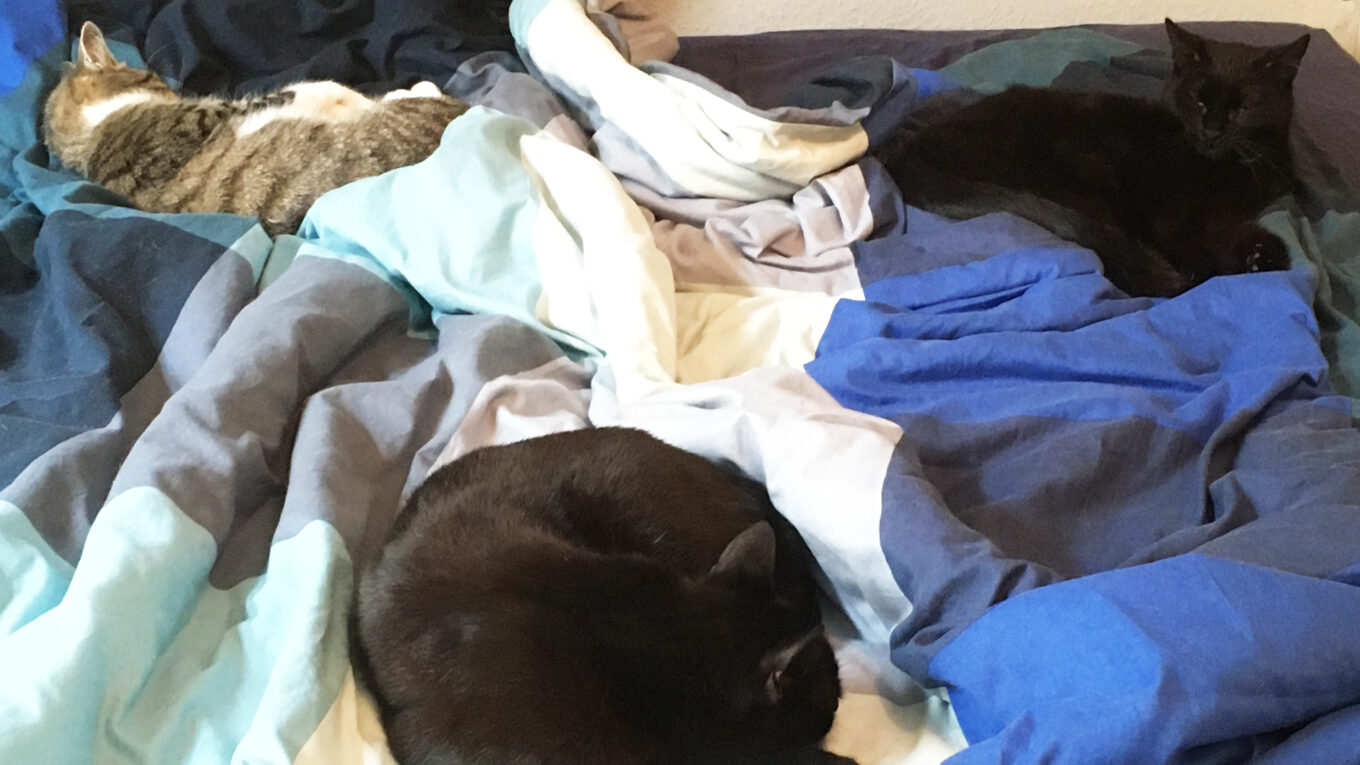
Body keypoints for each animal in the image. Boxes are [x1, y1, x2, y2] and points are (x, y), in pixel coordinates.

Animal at [43, 22, 468, 237]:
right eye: (153, 79)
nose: (171, 89)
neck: (93, 134)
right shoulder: (208, 116)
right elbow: (308, 88)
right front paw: (343, 94)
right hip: (425, 113)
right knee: (430, 96)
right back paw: (405, 90)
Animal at [876, 19, 1309, 297]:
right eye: (1198, 100)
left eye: (1243, 107)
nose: (1213, 131)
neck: (1226, 170)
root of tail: (909, 154)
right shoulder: (1170, 214)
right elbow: (1194, 245)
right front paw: (1236, 263)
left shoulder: (1227, 210)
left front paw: (1259, 254)